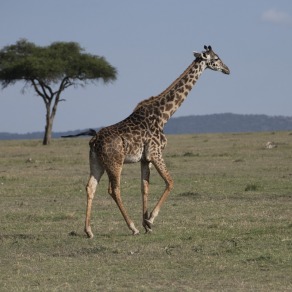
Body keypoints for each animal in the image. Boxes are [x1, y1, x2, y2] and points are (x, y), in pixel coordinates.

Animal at [81, 45, 228, 237]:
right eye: (216, 58)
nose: (227, 69)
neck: (164, 115)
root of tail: (94, 141)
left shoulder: (145, 158)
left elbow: (145, 187)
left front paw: (147, 224)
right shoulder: (156, 152)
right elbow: (170, 182)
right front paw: (149, 220)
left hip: (96, 162)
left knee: (90, 187)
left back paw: (89, 231)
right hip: (115, 162)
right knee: (114, 189)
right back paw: (132, 227)